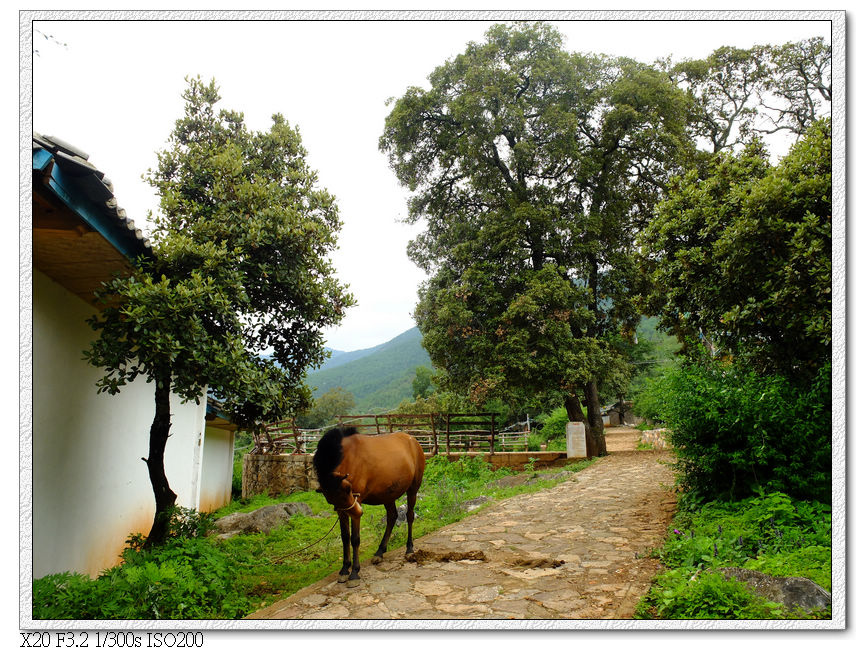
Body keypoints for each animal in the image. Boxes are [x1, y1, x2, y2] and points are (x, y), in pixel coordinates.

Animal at [314, 422, 428, 584]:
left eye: (348, 488)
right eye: (329, 498)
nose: (359, 512)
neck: (346, 456)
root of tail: (413, 441)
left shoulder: (357, 502)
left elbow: (355, 539)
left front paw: (354, 572)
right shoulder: (342, 509)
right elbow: (345, 537)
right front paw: (344, 569)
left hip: (413, 489)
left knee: (410, 516)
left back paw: (409, 549)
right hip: (388, 495)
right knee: (392, 517)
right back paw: (380, 552)